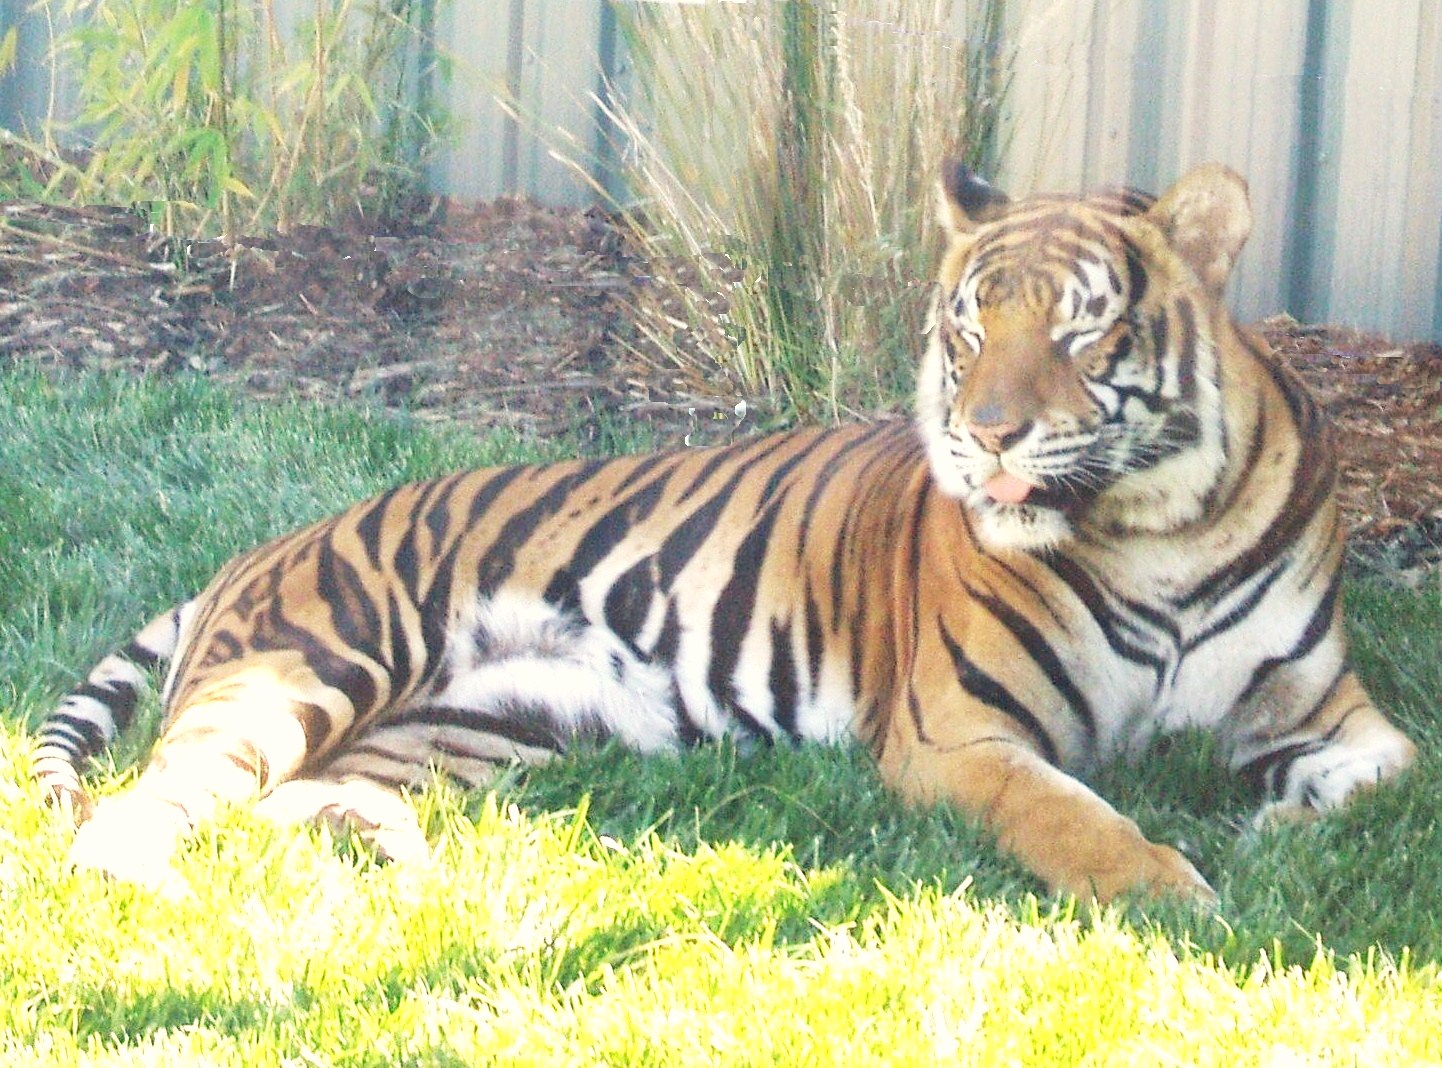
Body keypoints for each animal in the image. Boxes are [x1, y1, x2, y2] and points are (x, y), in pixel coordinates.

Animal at [32, 161, 1417, 904]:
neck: (1155, 529)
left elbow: (1386, 776)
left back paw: (397, 857)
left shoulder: (1319, 712)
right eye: (967, 330)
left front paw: (1275, 834)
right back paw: (158, 887)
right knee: (135, 812)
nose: (984, 435)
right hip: (307, 668)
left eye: (1080, 332)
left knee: (285, 806)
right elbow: (1073, 818)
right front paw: (1169, 890)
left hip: (477, 726)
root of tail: (254, 550)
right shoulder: (956, 735)